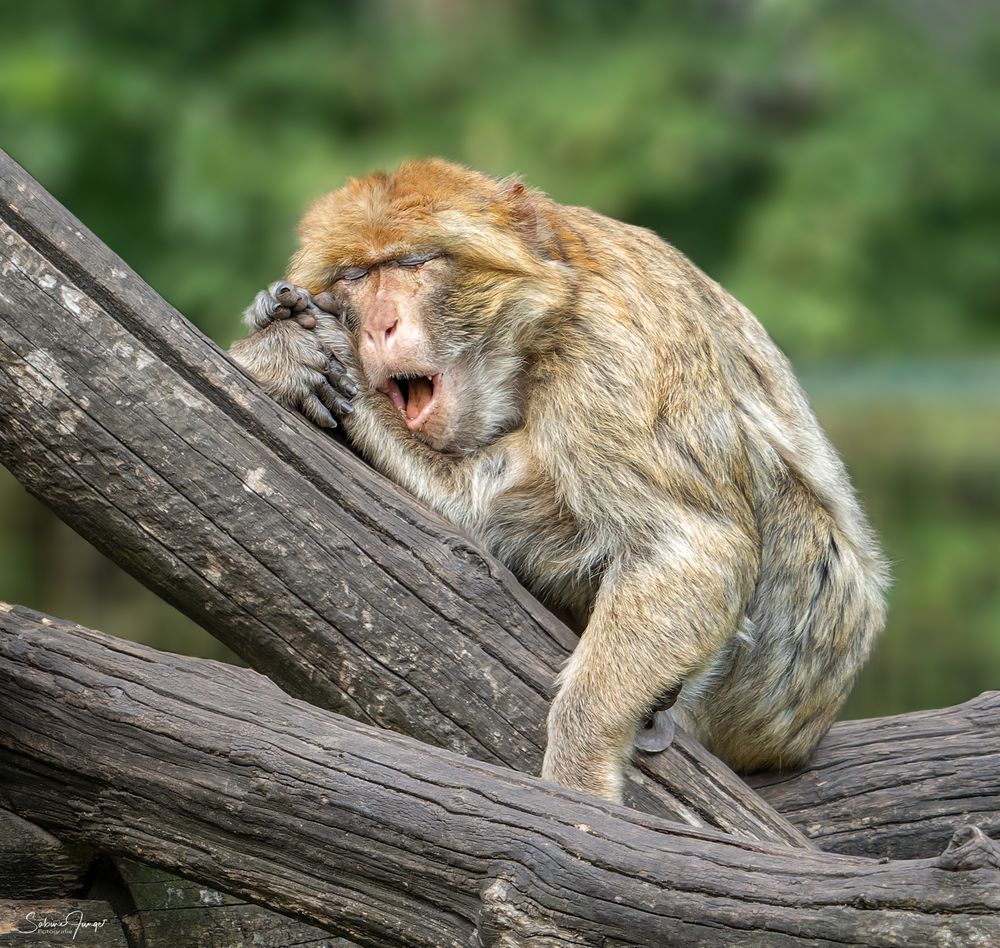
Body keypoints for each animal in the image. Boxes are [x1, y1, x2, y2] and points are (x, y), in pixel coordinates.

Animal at [230, 159, 888, 804]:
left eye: (413, 263)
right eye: (356, 275)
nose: (377, 328)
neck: (542, 321)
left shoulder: (611, 353)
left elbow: (688, 547)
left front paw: (579, 765)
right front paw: (276, 331)